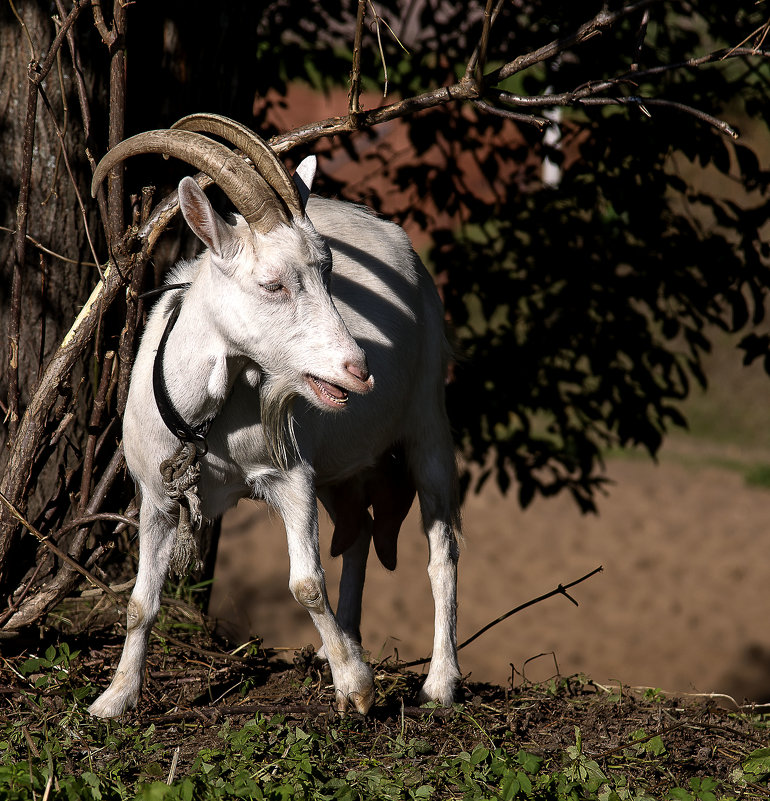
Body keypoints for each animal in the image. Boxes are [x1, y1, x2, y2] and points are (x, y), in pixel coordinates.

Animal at [90, 114, 462, 720]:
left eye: (329, 274)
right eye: (272, 284)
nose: (358, 369)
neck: (206, 423)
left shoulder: (292, 478)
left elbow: (306, 583)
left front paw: (356, 687)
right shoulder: (157, 495)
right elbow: (141, 601)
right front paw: (115, 699)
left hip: (428, 417)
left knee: (442, 548)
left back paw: (440, 682)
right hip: (340, 462)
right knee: (359, 529)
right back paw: (341, 643)